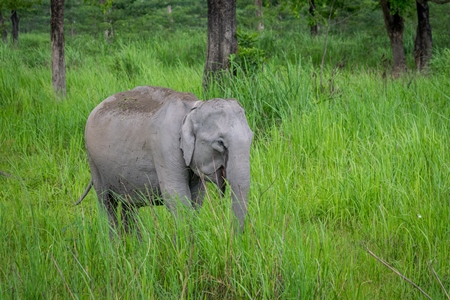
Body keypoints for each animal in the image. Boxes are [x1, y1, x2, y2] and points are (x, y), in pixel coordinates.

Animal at [77, 85, 253, 233]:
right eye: (220, 143)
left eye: (251, 137)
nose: (233, 238)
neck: (192, 109)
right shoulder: (165, 146)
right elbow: (177, 197)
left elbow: (197, 198)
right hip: (93, 161)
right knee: (106, 202)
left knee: (128, 206)